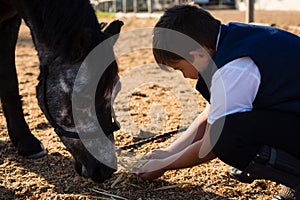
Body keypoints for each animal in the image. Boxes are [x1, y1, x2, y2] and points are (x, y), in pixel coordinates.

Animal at [0, 0, 123, 183]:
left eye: (117, 91)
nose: (105, 170)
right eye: (81, 99)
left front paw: (26, 143)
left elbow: (8, 82)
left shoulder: (10, 23)